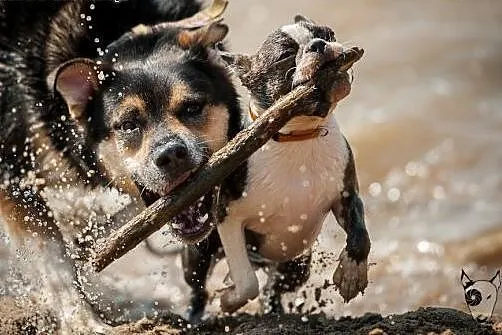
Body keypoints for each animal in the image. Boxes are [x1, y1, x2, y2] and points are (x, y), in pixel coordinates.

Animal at [0, 0, 245, 320]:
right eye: (128, 125)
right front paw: (84, 321)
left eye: (192, 107)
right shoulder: (11, 171)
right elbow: (51, 253)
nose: (171, 155)